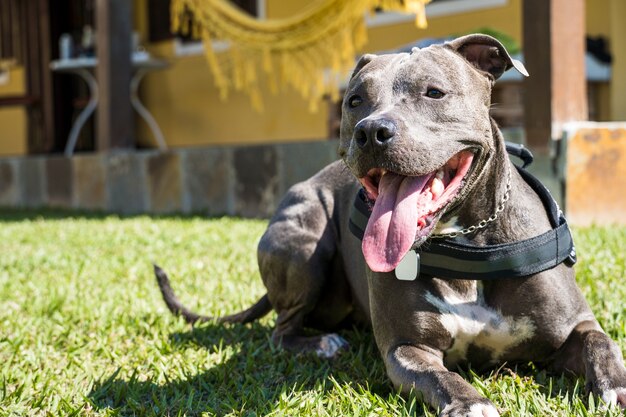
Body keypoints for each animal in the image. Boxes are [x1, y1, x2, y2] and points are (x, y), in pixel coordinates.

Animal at [155, 34, 624, 414]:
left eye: (434, 92)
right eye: (354, 101)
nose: (370, 131)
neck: (465, 243)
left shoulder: (574, 327)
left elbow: (600, 342)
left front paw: (616, 388)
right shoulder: (406, 350)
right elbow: (444, 377)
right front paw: (472, 404)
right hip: (303, 244)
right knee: (281, 329)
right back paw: (320, 343)